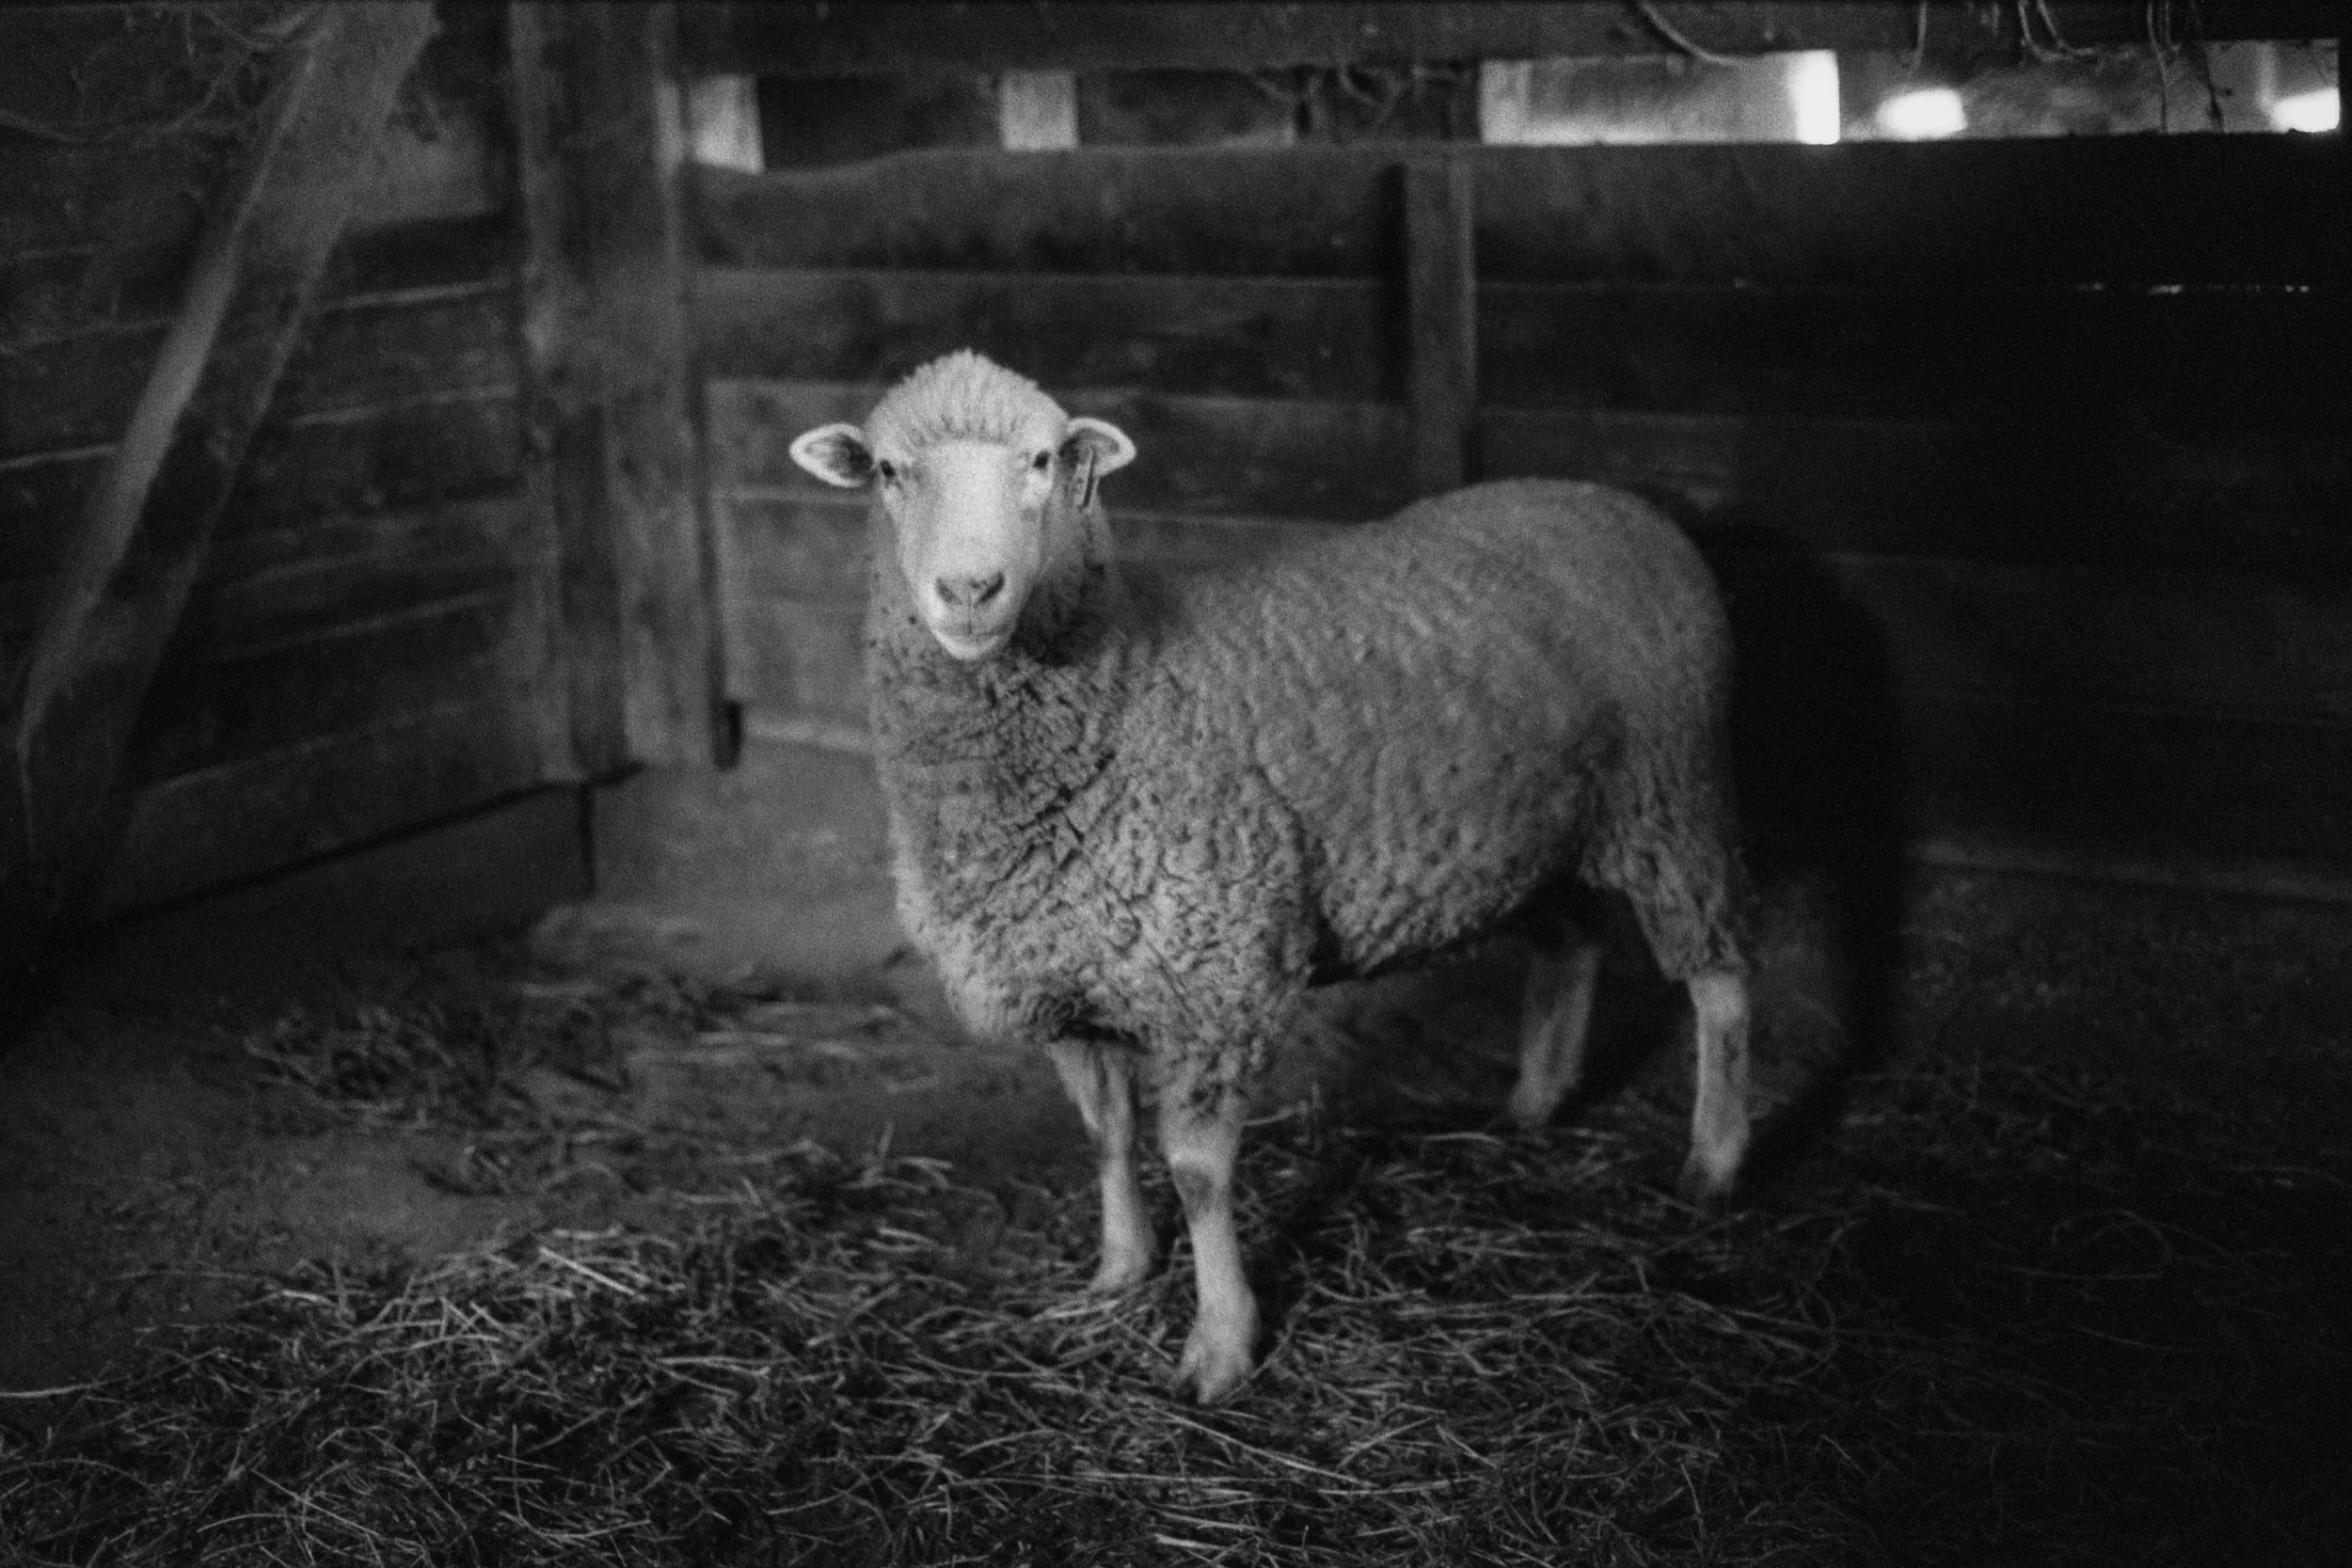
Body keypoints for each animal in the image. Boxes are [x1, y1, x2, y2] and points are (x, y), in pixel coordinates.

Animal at [789, 350, 1753, 1404]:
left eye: (1041, 460)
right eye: (889, 471)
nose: (969, 588)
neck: (1122, 688)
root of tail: (1612, 498)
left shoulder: (1216, 975)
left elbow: (1197, 1170)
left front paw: (1219, 1343)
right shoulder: (1063, 975)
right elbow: (1105, 1133)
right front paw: (1119, 1269)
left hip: (1671, 799)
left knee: (1720, 982)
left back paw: (1712, 1162)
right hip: (1532, 835)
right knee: (1573, 940)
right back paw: (1537, 1103)